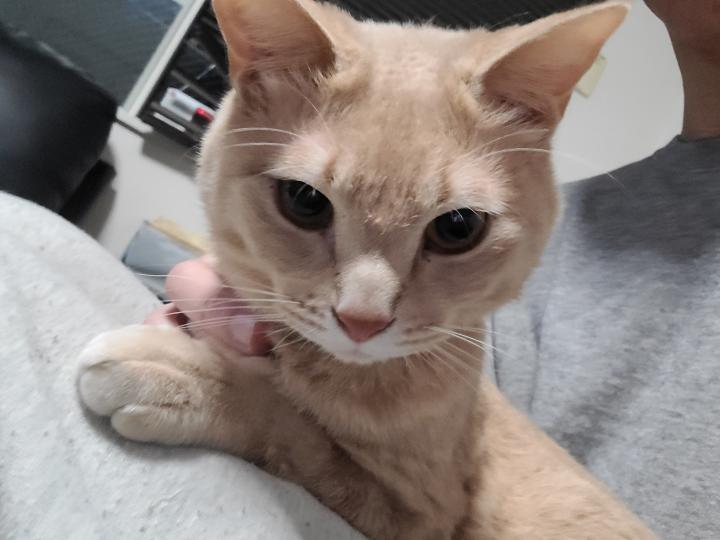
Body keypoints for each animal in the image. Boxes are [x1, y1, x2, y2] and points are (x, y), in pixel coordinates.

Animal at [78, 0, 657, 538]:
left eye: (459, 228)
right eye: (305, 201)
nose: (362, 320)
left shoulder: (417, 513)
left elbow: (298, 431)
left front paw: (188, 375)